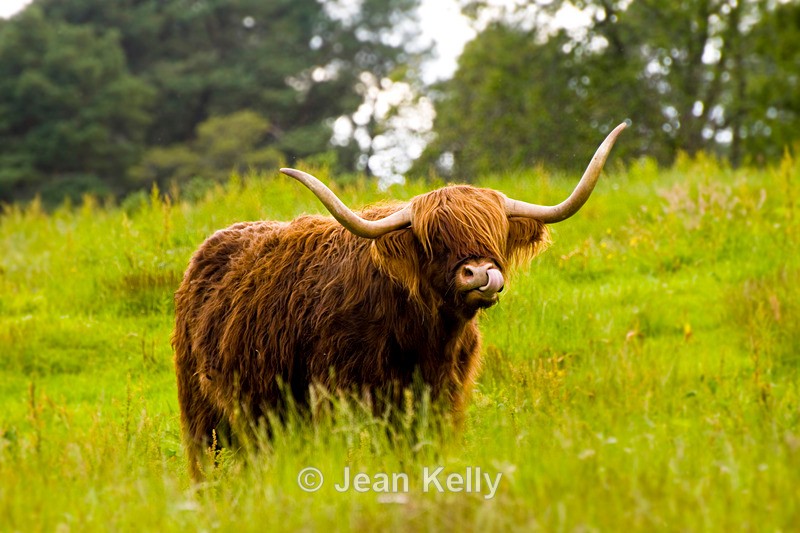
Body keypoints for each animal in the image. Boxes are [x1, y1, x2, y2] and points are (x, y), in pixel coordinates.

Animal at [173, 123, 627, 479]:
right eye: (434, 239)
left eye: (495, 233)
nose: (481, 273)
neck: (425, 334)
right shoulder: (340, 396)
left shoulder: (442, 398)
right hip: (203, 414)